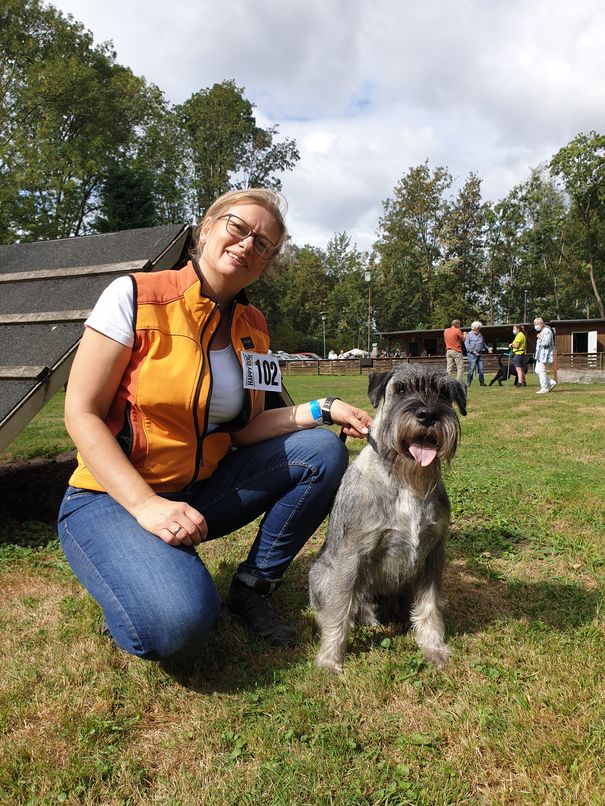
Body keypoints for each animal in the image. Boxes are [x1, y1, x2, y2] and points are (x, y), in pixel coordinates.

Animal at [310, 362, 464, 672]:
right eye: (401, 389)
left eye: (444, 393)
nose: (427, 415)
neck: (406, 481)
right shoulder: (351, 555)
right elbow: (338, 609)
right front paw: (330, 659)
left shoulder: (433, 553)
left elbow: (430, 605)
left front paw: (433, 647)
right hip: (321, 574)